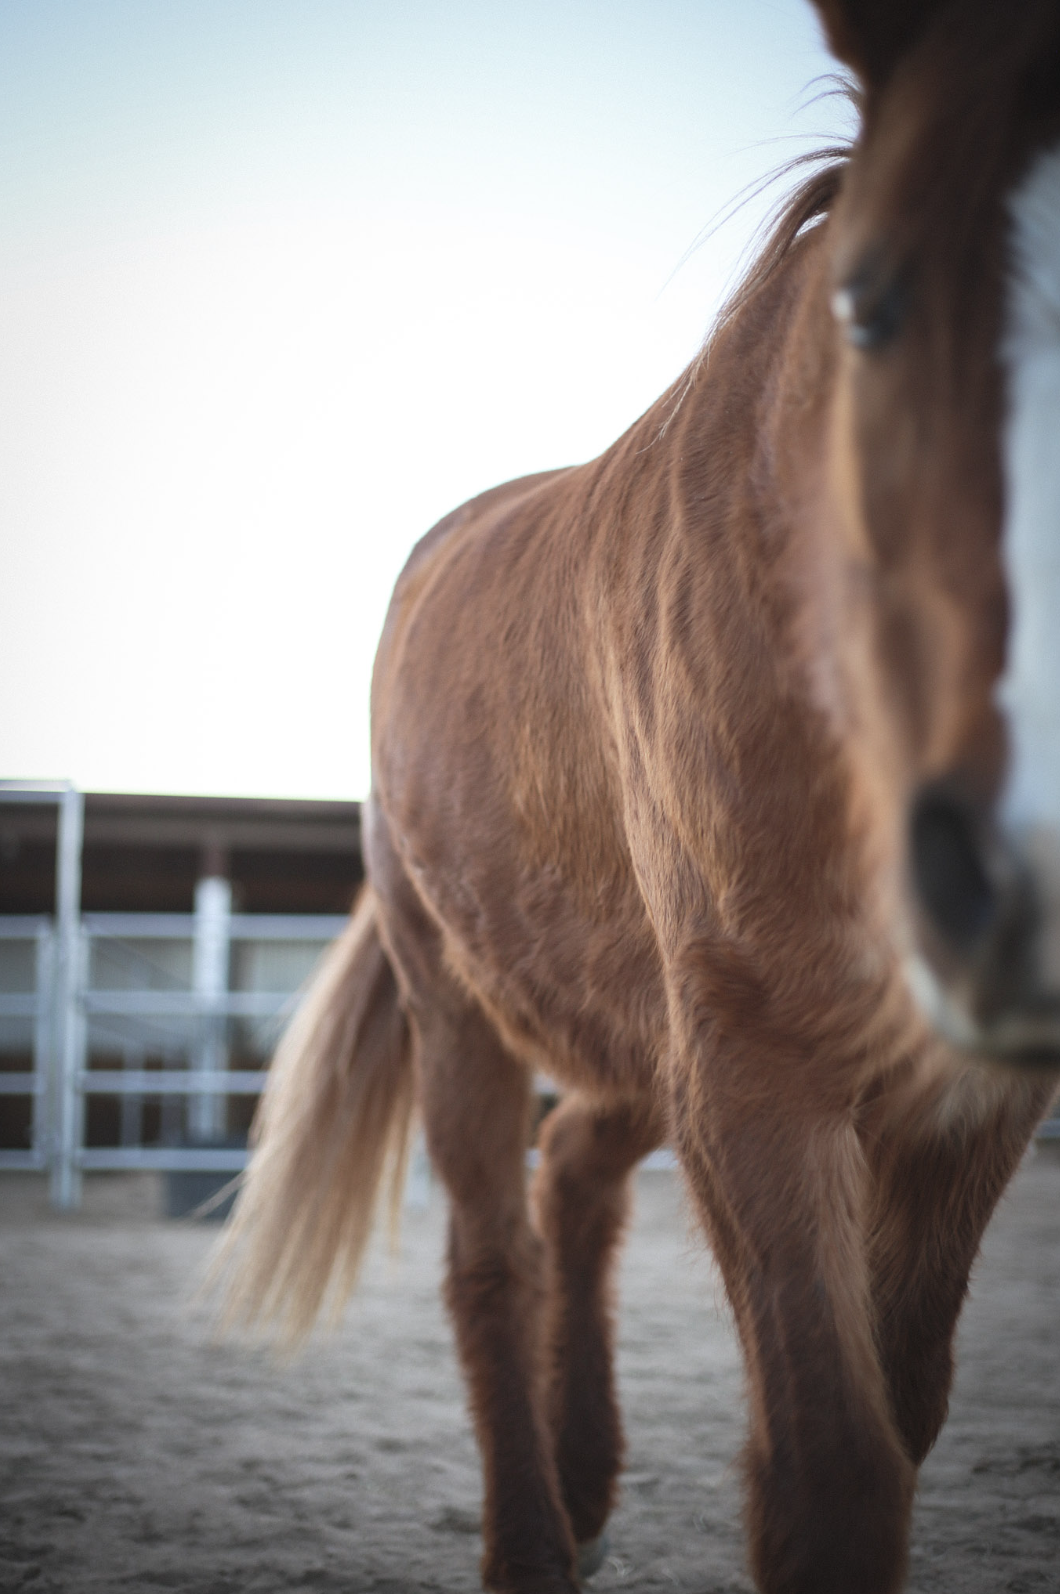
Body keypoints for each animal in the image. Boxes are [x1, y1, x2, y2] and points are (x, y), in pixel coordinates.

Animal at [218, 3, 1060, 1590]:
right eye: (868, 306)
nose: (1020, 874)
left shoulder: (966, 1105)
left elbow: (902, 1409)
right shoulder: (751, 1066)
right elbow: (831, 1470)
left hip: (623, 1038)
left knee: (570, 1173)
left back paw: (587, 1474)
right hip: (462, 1009)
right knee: (492, 1257)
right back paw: (533, 1538)